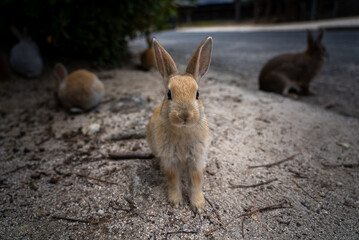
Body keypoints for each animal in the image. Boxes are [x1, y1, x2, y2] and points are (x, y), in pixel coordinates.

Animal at [147, 36, 214, 209]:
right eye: (169, 94)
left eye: (197, 94)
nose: (185, 115)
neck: (183, 129)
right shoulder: (170, 160)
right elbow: (173, 180)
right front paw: (176, 202)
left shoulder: (197, 159)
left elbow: (196, 181)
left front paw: (198, 205)